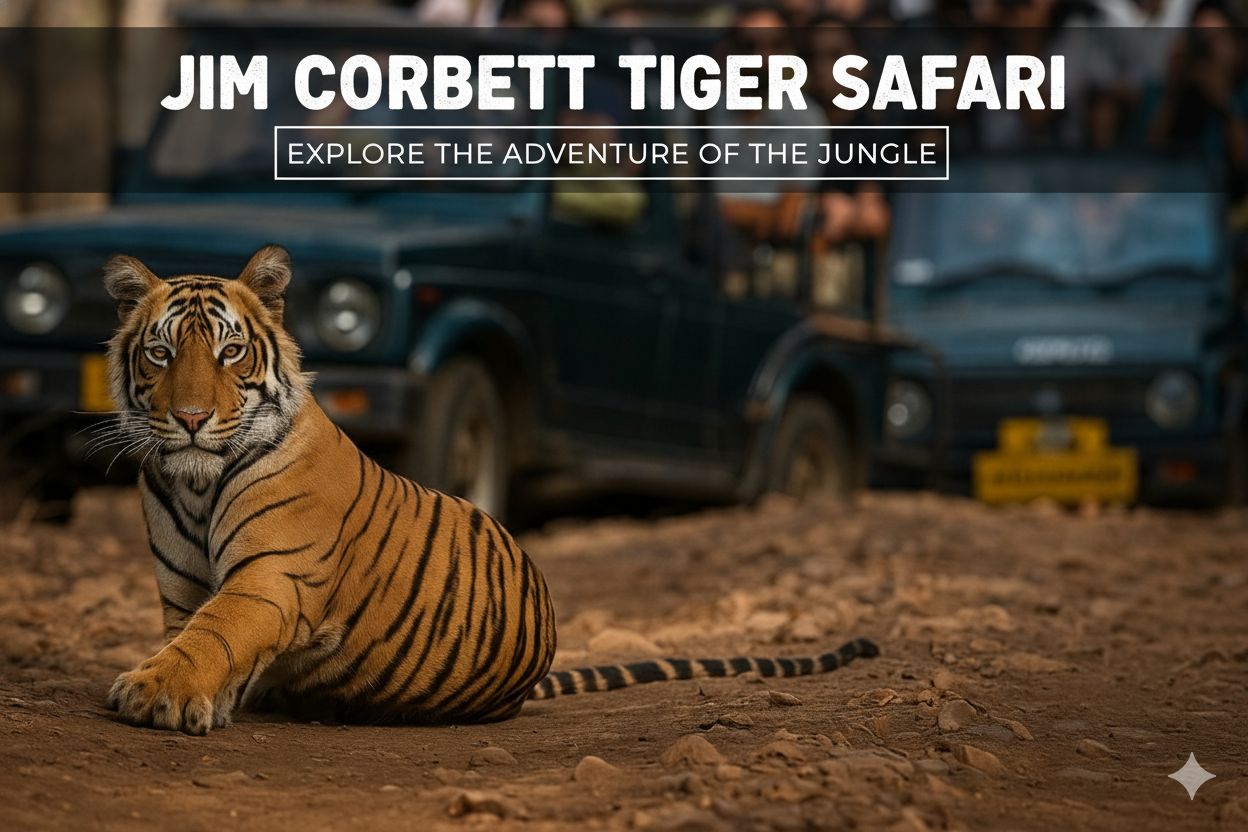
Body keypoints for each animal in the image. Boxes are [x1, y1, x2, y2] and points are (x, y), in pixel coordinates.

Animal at [101, 245, 878, 736]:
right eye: (160, 353)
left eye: (230, 351)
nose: (191, 419)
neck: (195, 486)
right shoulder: (181, 589)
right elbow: (197, 637)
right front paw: (192, 696)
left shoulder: (271, 577)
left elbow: (214, 636)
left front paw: (156, 692)